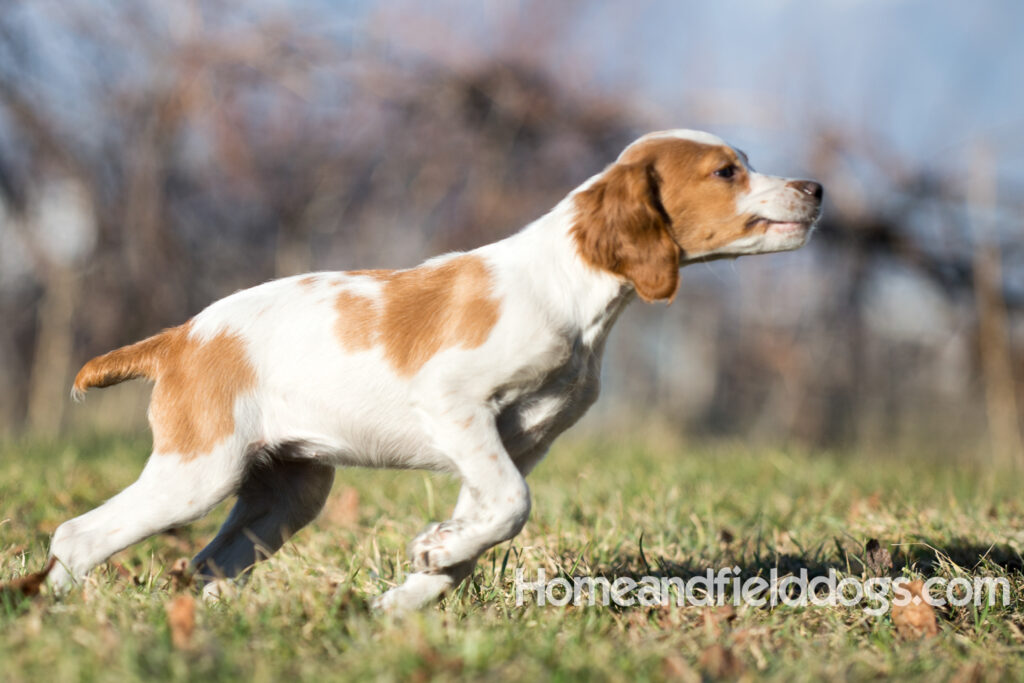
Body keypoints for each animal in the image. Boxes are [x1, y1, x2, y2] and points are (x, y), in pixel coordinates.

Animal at [49, 131, 823, 610]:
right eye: (726, 171)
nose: (815, 187)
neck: (566, 287)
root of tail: (181, 335)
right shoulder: (457, 406)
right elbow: (513, 506)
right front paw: (430, 558)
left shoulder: (515, 443)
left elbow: (487, 527)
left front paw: (411, 588)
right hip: (197, 473)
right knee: (76, 536)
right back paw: (51, 612)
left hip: (286, 494)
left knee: (207, 566)